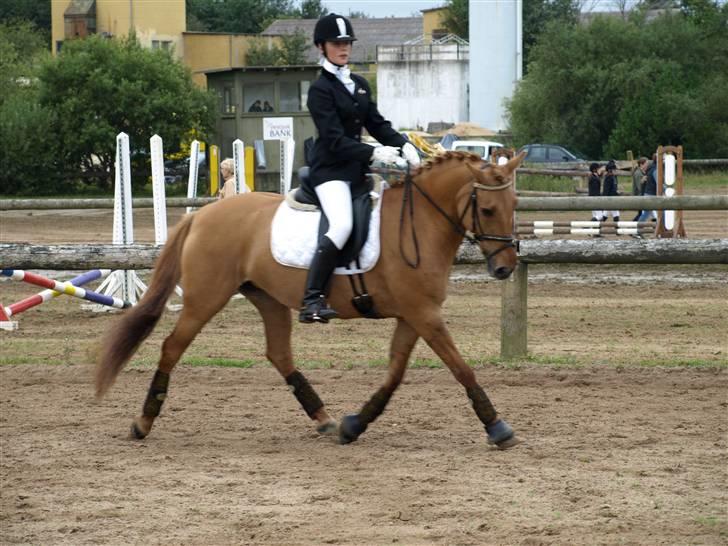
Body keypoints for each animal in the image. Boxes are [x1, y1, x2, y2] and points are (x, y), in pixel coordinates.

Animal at [96, 150, 528, 446]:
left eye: (514, 205)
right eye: (487, 208)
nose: (505, 268)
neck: (419, 222)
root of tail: (201, 216)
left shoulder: (414, 314)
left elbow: (394, 373)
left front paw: (355, 424)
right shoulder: (423, 313)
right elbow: (460, 368)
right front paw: (497, 426)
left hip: (267, 299)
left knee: (278, 354)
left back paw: (325, 418)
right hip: (205, 298)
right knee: (172, 347)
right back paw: (143, 422)